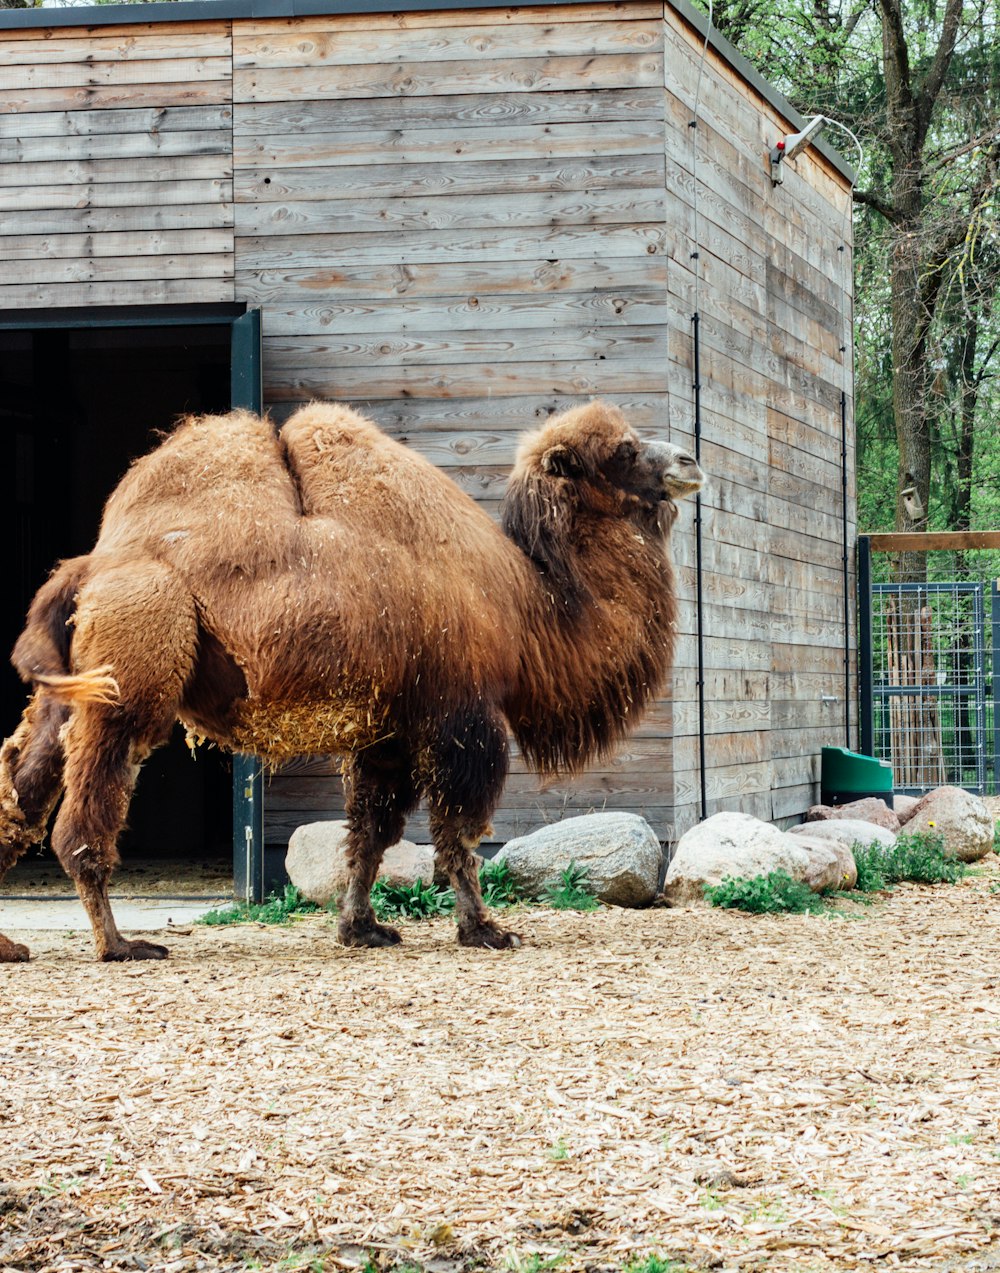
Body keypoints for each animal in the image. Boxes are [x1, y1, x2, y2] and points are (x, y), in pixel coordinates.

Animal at [0, 402, 702, 957]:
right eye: (622, 451)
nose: (690, 460)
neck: (528, 606)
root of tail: (92, 564)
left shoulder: (388, 730)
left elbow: (371, 831)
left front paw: (361, 929)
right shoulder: (461, 714)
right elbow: (457, 829)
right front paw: (485, 930)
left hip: (73, 684)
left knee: (26, 776)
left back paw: (14, 945)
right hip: (136, 658)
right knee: (91, 797)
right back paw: (119, 944)